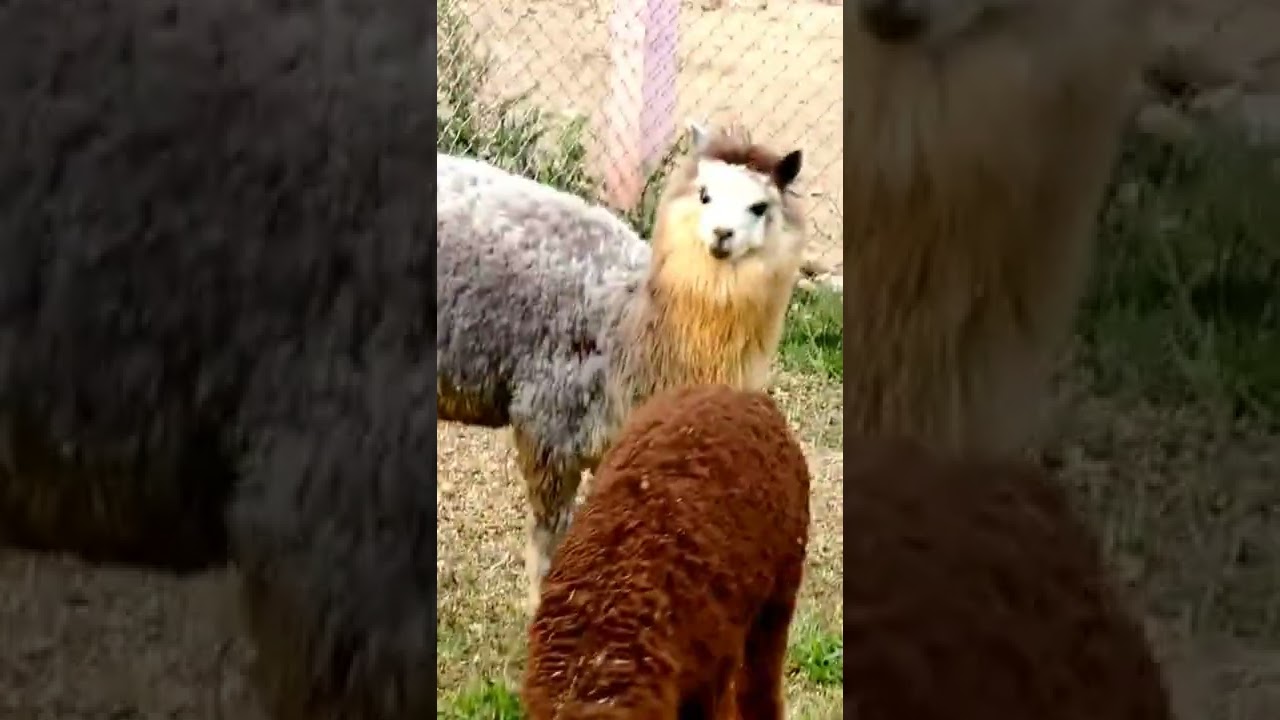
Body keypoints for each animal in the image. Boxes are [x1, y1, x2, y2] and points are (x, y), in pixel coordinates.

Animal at [436, 123, 807, 609]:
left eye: (759, 207)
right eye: (705, 194)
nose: (722, 234)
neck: (630, 324)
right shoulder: (548, 425)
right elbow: (550, 541)